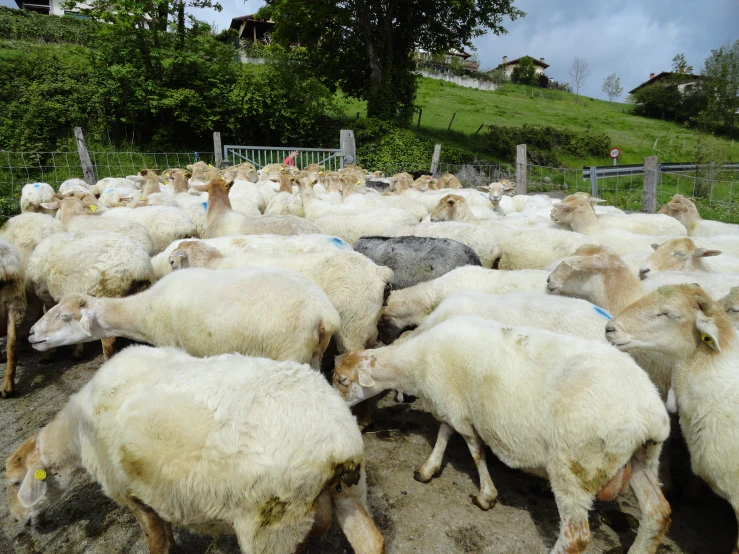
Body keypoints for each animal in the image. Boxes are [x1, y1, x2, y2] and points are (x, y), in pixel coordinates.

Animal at [5, 344, 384, 552]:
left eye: (14, 483)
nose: (17, 521)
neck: (78, 423)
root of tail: (338, 442)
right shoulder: (150, 488)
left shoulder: (131, 495)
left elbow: (155, 541)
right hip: (351, 492)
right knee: (372, 543)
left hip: (271, 526)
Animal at [28, 266, 340, 368]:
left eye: (65, 316)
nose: (31, 334)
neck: (143, 312)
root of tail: (325, 312)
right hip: (312, 354)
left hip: (291, 353)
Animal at [338, 314, 672, 552]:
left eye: (341, 380)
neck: (416, 361)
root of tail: (648, 413)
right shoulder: (454, 406)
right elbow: (445, 434)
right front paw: (430, 468)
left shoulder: (458, 410)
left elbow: (474, 448)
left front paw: (486, 494)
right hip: (644, 457)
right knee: (658, 512)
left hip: (575, 468)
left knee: (576, 537)